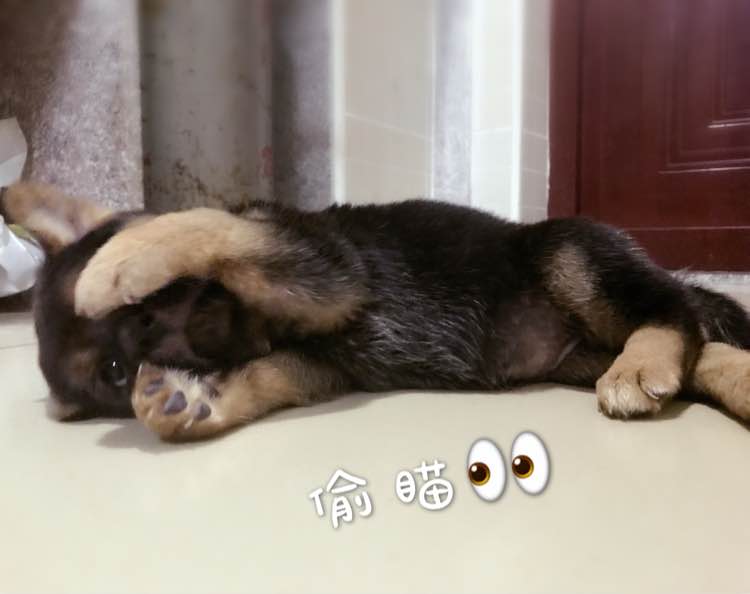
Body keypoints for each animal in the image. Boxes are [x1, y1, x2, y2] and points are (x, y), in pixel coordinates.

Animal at [2, 182, 750, 441]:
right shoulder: (316, 362)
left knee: (676, 309)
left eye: (143, 313)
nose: (159, 324)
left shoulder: (323, 266)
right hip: (579, 349)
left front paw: (118, 261)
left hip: (571, 254)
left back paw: (642, 365)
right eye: (115, 370)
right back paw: (731, 383)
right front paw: (191, 401)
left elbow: (208, 224)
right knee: (700, 346)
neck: (252, 318)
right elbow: (260, 378)